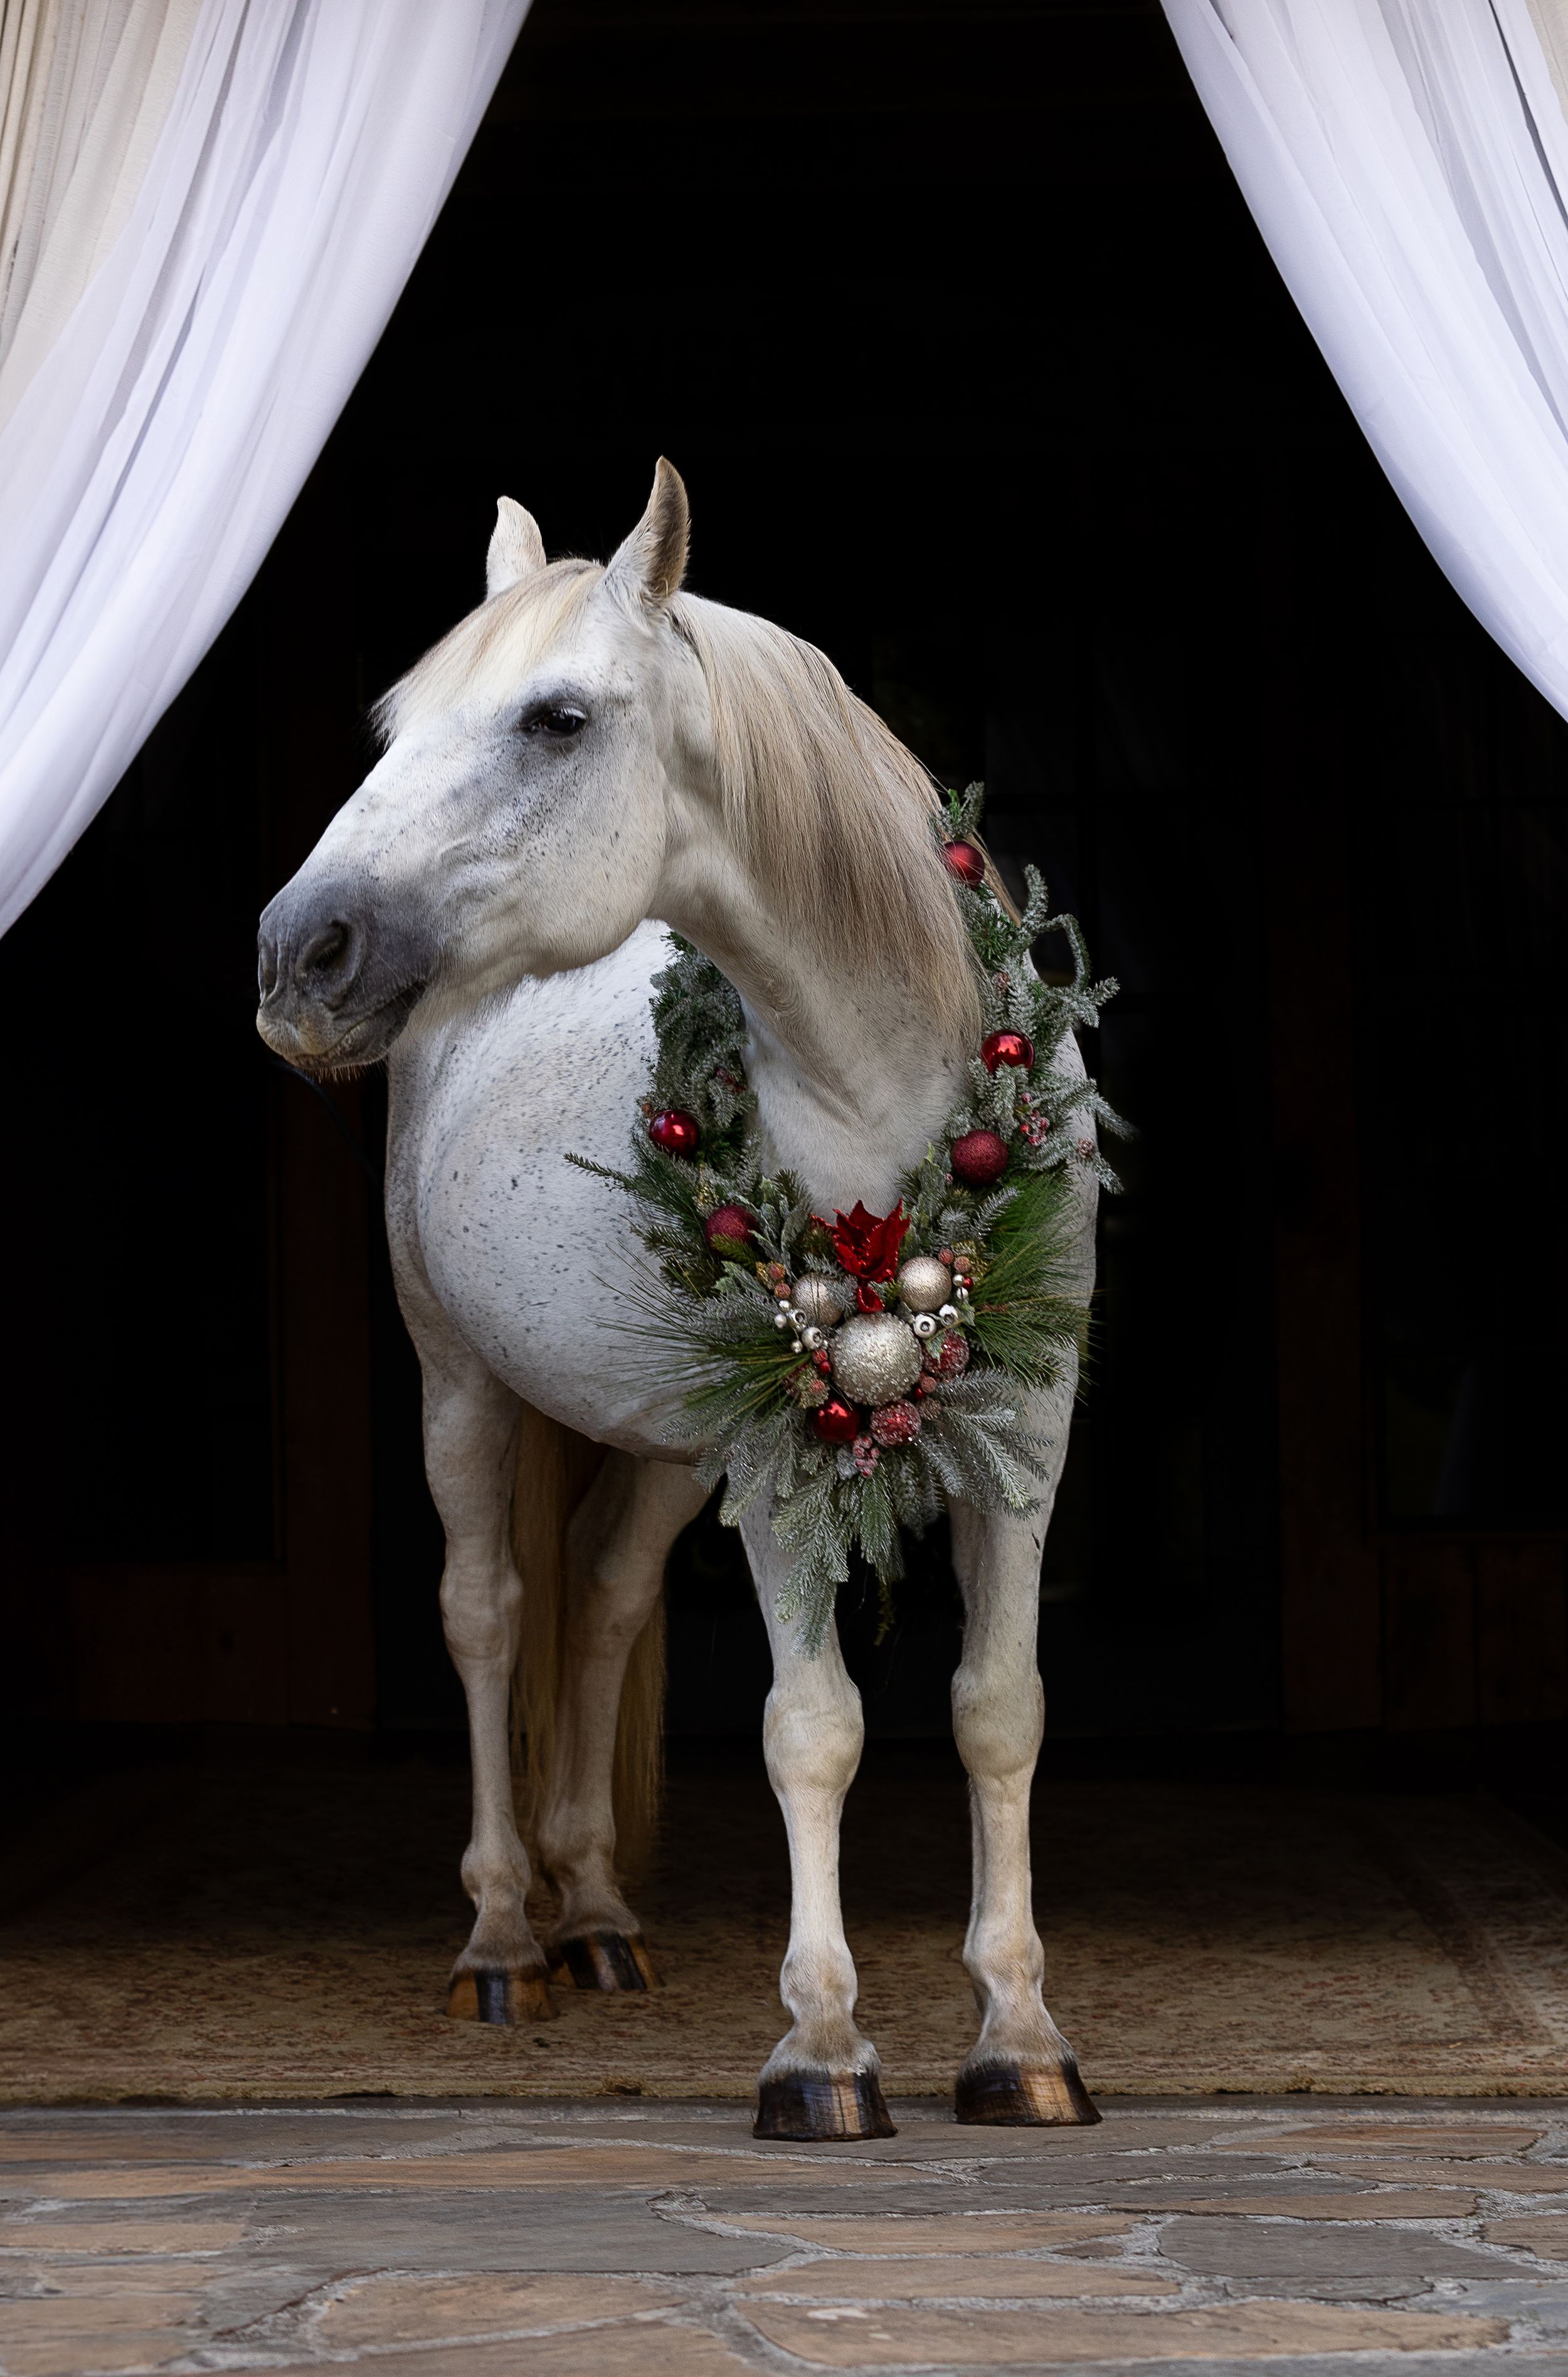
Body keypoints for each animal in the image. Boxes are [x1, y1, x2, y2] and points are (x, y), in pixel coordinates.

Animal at [256, 461, 1100, 2140]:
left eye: (557, 718)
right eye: (395, 725)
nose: (298, 955)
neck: (883, 1085)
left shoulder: (1025, 1436)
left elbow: (997, 1710)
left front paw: (1021, 2037)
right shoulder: (782, 1457)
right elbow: (812, 1729)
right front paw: (823, 2052)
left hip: (661, 1434)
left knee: (600, 1596)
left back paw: (594, 1915)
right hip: (462, 1381)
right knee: (490, 1612)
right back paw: (506, 1937)